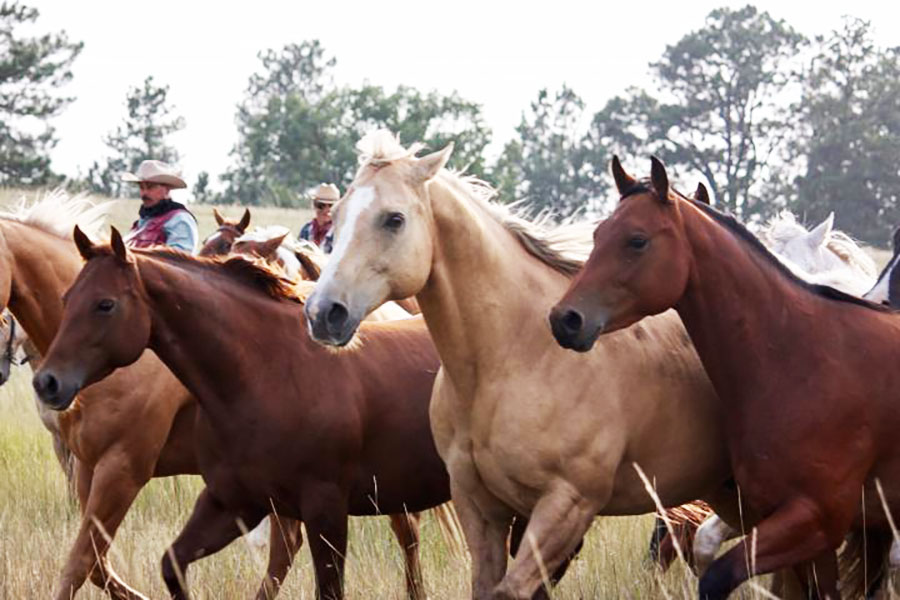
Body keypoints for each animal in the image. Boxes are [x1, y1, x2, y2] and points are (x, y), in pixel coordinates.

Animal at [32, 230, 455, 600]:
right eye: (67, 298)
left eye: (105, 304)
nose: (47, 382)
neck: (269, 373)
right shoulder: (233, 501)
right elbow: (170, 564)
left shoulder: (326, 509)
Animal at [302, 130, 744, 600]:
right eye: (338, 216)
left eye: (394, 219)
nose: (323, 312)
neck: (514, 358)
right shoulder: (480, 507)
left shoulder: (566, 506)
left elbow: (511, 589)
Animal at [550, 156, 900, 599]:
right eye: (597, 235)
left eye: (637, 240)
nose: (565, 319)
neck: (804, 360)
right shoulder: (797, 527)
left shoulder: (816, 519)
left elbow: (717, 573)